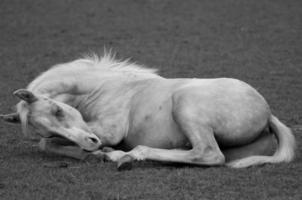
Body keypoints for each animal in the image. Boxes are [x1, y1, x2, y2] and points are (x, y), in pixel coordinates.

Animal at [0, 53, 296, 169]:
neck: (104, 87)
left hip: (186, 103)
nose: (91, 143)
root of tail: (267, 113)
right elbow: (46, 143)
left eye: (58, 110)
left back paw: (129, 156)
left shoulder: (108, 130)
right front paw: (95, 154)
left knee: (209, 154)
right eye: (48, 122)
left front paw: (107, 152)